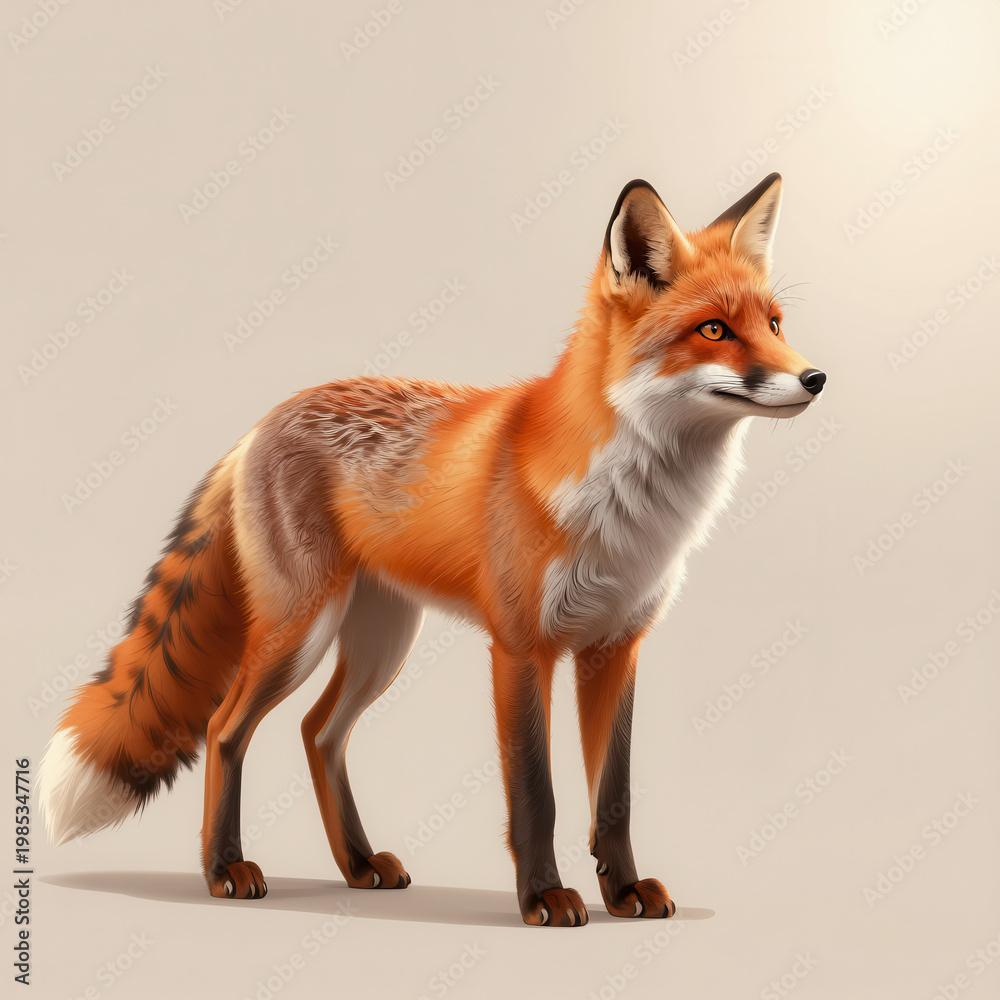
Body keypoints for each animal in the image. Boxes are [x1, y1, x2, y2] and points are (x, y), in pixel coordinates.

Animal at [39, 172, 825, 926]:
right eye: (714, 329)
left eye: (775, 324)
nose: (815, 378)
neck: (631, 508)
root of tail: (264, 420)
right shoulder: (521, 647)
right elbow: (536, 794)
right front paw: (543, 898)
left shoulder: (615, 648)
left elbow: (614, 798)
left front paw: (625, 890)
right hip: (300, 631)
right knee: (225, 728)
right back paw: (223, 868)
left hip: (382, 642)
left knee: (318, 732)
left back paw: (358, 864)